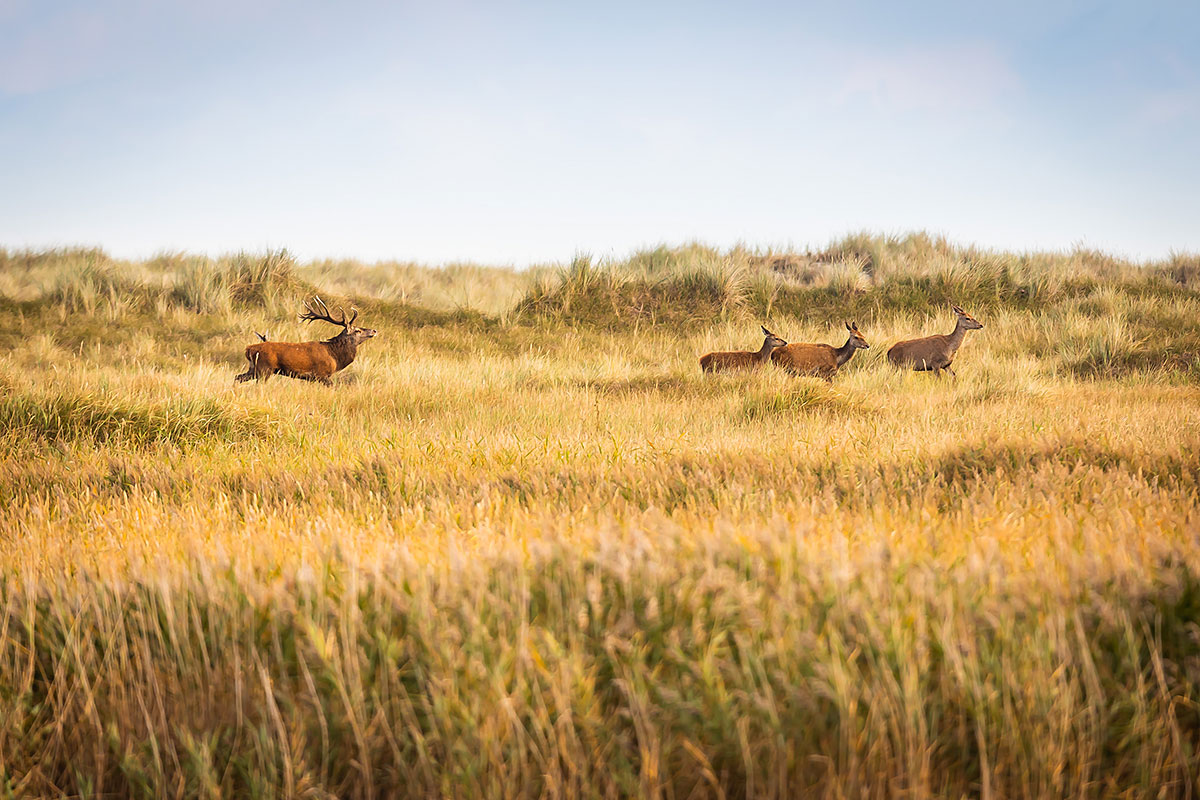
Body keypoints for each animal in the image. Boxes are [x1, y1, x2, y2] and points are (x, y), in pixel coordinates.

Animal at [234, 296, 377, 385]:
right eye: (357, 330)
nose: (374, 330)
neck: (334, 357)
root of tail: (248, 349)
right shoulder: (321, 375)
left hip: (254, 369)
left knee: (237, 377)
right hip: (265, 368)